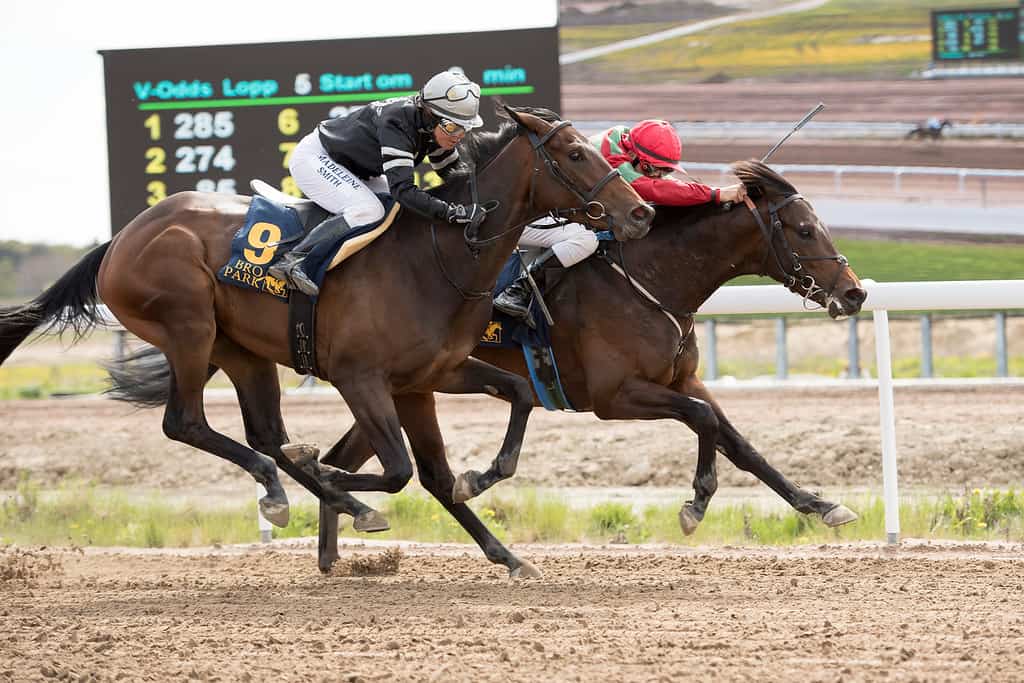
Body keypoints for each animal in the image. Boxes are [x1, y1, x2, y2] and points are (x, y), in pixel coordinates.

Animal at [0, 107, 651, 577]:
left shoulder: (429, 378)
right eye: (574, 153)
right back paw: (313, 491)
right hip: (188, 328)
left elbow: (490, 422)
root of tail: (122, 237)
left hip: (241, 350)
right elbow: (398, 471)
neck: (436, 258)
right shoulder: (360, 378)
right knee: (185, 422)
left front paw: (505, 542)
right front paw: (341, 486)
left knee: (264, 432)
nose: (641, 213)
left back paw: (286, 485)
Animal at [317, 160, 864, 573]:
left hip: (402, 383)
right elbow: (703, 419)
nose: (856, 293)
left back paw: (334, 553)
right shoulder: (614, 396)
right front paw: (696, 504)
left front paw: (820, 504)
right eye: (805, 230)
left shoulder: (683, 378)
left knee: (345, 457)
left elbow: (740, 443)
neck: (649, 277)